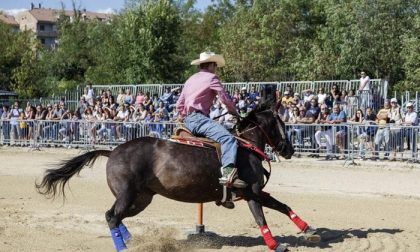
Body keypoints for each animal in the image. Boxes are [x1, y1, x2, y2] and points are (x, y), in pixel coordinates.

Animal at [37, 101, 322, 251]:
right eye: (280, 124)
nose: (289, 149)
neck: (245, 146)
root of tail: (113, 151)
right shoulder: (251, 191)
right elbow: (266, 214)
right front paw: (280, 242)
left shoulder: (255, 192)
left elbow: (277, 208)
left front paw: (305, 230)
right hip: (127, 195)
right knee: (111, 216)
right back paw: (125, 246)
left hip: (141, 199)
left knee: (117, 218)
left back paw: (131, 240)